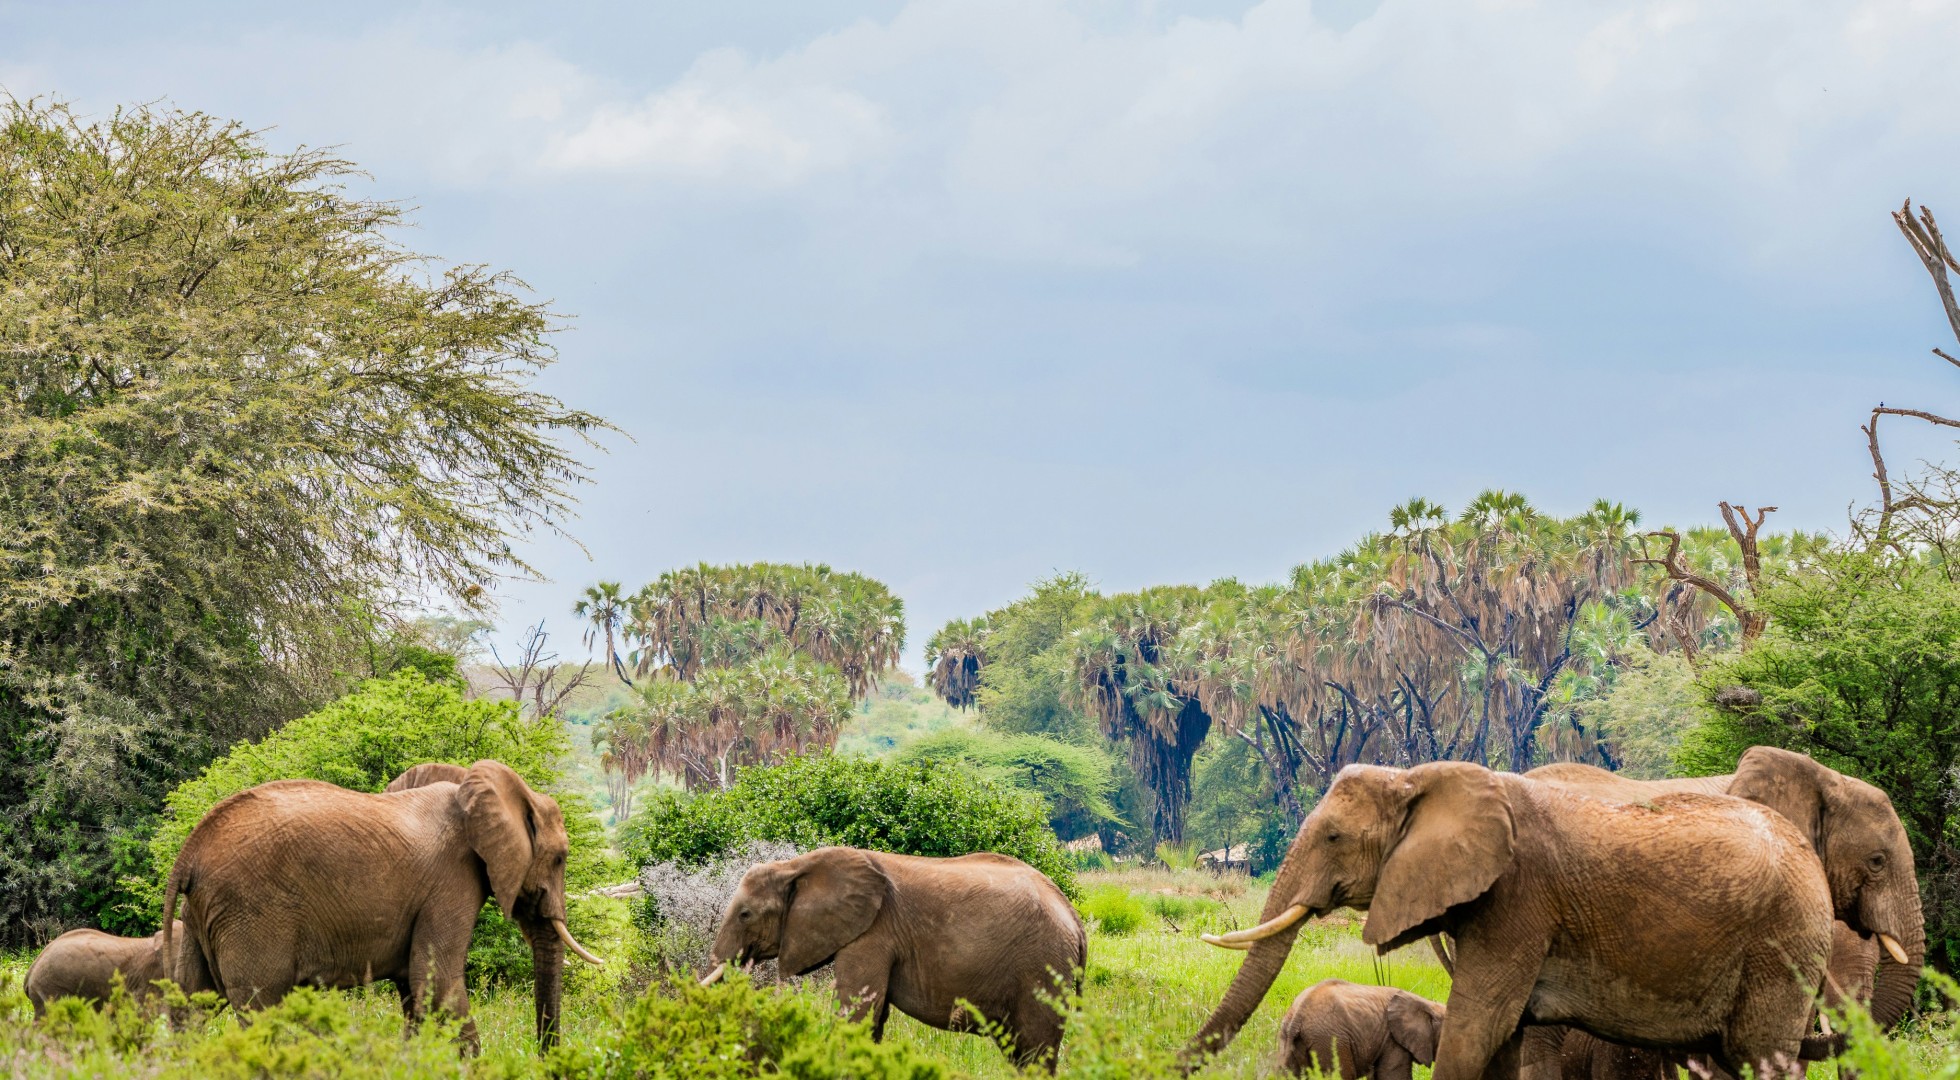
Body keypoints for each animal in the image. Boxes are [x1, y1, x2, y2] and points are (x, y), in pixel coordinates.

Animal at [162, 759, 603, 1050]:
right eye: (560, 858)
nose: (546, 1059)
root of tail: (189, 851)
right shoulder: (451, 882)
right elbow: (438, 985)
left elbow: (415, 993)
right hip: (251, 911)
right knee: (261, 1009)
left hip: (202, 915)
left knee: (193, 1005)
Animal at [703, 846, 1087, 1072]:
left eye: (745, 915)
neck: (795, 865)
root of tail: (1074, 916)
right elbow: (872, 1018)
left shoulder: (872, 933)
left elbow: (857, 1013)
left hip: (1042, 967)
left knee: (1035, 1050)